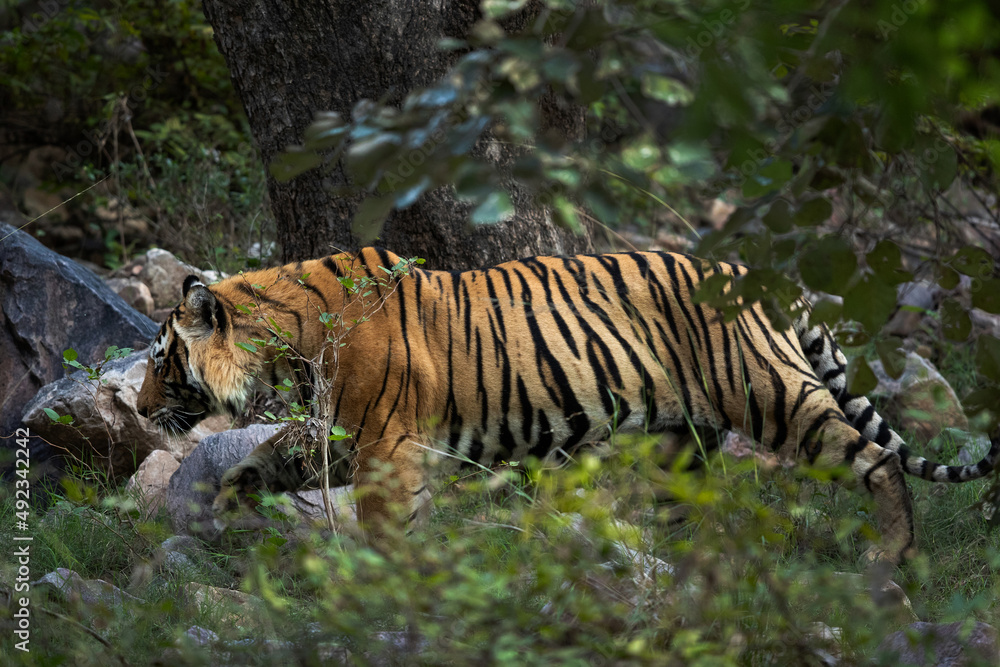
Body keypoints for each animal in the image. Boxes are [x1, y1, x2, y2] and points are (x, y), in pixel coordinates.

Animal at [135, 247, 999, 563]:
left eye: (159, 358)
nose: (139, 410)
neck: (290, 338)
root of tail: (759, 272)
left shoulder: (386, 442)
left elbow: (388, 527)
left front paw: (391, 587)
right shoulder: (349, 434)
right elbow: (266, 457)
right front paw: (219, 503)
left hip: (773, 394)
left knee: (879, 459)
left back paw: (891, 556)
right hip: (683, 440)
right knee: (692, 511)